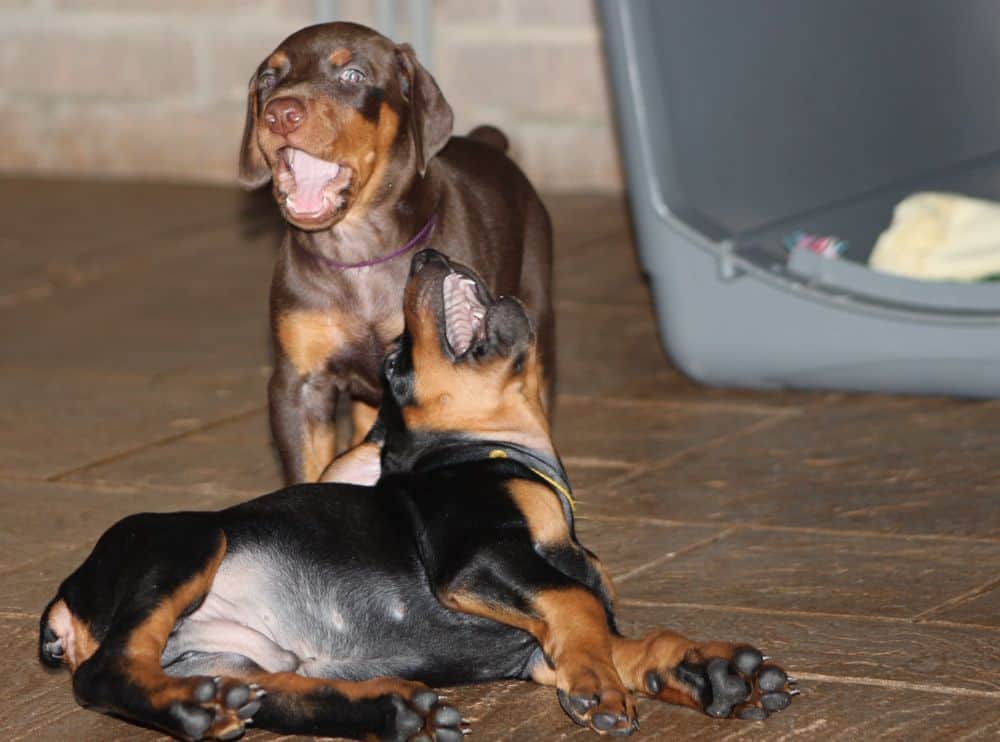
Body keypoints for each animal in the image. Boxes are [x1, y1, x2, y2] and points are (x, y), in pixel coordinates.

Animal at [37, 251, 796, 742]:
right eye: (396, 362)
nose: (427, 254)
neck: (496, 453)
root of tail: (64, 604)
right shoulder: (475, 557)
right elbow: (578, 605)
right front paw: (601, 687)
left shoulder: (535, 648)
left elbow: (621, 635)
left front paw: (708, 671)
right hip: (191, 541)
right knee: (106, 673)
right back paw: (195, 709)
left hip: (246, 658)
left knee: (273, 696)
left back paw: (390, 711)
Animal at [241, 20, 556, 486]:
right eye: (268, 78)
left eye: (352, 75)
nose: (280, 114)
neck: (358, 254)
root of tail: (490, 145)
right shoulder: (298, 386)